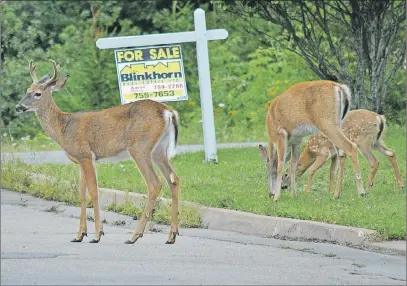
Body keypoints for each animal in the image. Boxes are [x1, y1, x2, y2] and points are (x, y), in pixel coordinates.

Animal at [14, 59, 180, 245]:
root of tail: (168, 112)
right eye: (27, 90)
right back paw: (171, 236)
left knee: (154, 183)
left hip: (140, 147)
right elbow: (82, 193)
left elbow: (93, 191)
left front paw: (97, 234)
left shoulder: (86, 155)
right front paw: (79, 235)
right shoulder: (80, 160)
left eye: (37, 93)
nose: (18, 106)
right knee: (174, 179)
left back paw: (134, 236)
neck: (62, 127)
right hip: (159, 149)